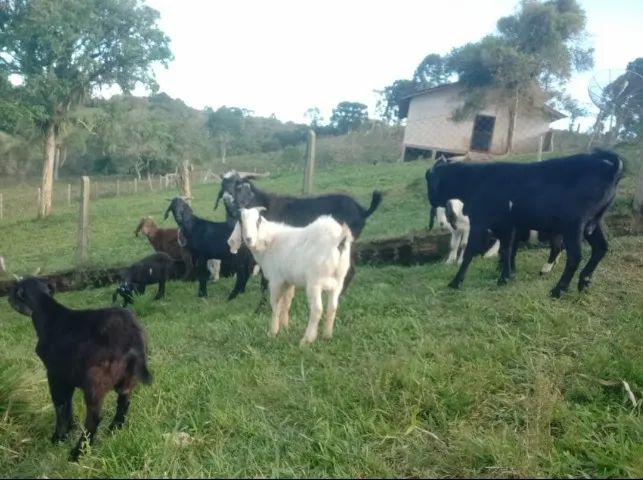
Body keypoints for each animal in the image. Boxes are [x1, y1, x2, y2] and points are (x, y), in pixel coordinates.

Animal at [8, 277, 152, 461]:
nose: (7, 297)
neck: (49, 313)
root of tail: (131, 336)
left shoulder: (55, 375)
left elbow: (61, 407)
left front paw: (58, 438)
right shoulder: (66, 379)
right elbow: (68, 405)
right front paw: (69, 429)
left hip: (94, 381)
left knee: (94, 417)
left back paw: (78, 452)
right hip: (127, 380)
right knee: (124, 402)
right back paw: (114, 429)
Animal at [228, 207, 353, 345]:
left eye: (257, 221)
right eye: (241, 221)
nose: (249, 239)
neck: (269, 242)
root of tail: (339, 238)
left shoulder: (276, 280)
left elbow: (276, 305)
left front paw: (273, 332)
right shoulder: (288, 281)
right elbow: (286, 304)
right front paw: (285, 328)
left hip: (315, 282)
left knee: (317, 309)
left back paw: (307, 340)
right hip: (338, 281)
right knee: (332, 307)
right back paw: (327, 336)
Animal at [426, 149, 624, 297]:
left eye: (429, 179)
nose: (432, 199)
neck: (477, 180)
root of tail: (609, 167)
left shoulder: (480, 222)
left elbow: (470, 251)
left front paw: (455, 282)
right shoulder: (507, 225)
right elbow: (507, 250)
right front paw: (505, 277)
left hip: (574, 224)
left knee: (575, 256)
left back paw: (558, 290)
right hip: (592, 224)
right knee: (600, 248)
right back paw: (583, 282)